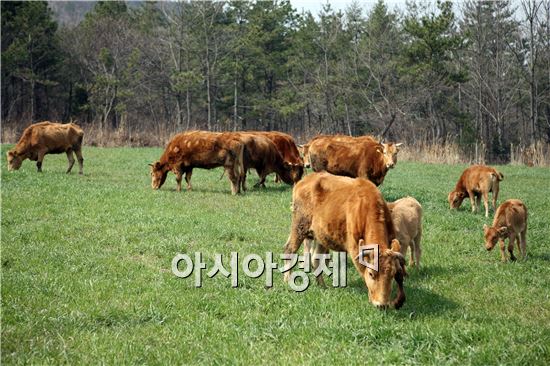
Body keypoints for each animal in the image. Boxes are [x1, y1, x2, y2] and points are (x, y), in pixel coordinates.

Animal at [284, 172, 410, 308]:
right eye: (371, 273)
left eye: (391, 274)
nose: (381, 304)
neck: (367, 206)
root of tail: (305, 180)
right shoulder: (354, 248)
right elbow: (362, 269)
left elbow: (400, 275)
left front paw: (399, 300)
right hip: (299, 227)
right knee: (289, 249)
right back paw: (287, 279)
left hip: (320, 236)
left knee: (315, 259)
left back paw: (322, 285)